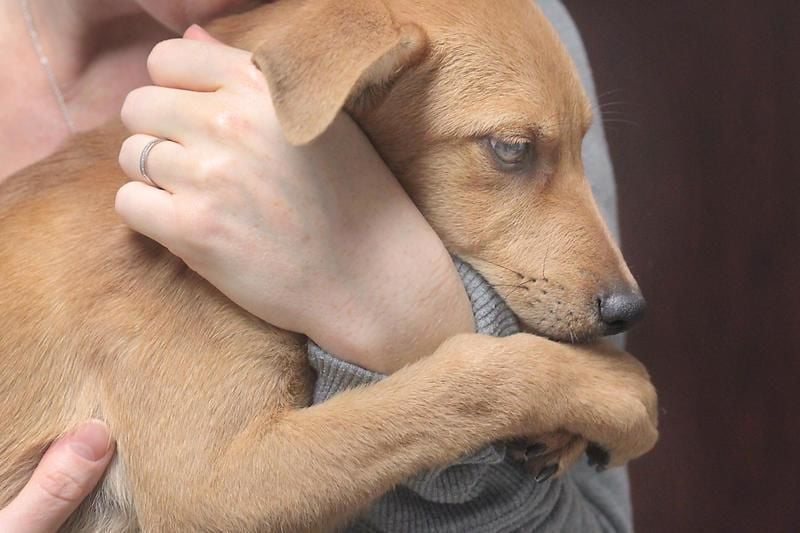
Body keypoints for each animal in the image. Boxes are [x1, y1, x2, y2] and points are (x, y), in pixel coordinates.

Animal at [0, 2, 656, 528]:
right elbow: (464, 382)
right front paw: (609, 389)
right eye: (511, 149)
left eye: (583, 146)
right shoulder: (212, 489)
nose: (629, 310)